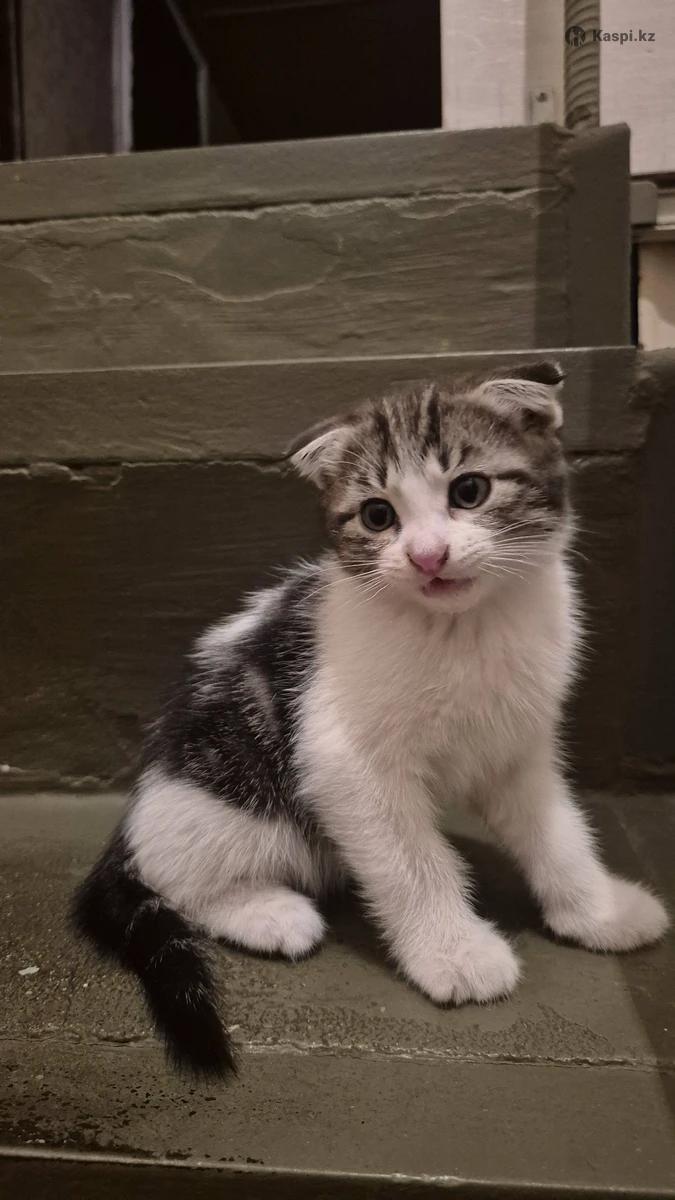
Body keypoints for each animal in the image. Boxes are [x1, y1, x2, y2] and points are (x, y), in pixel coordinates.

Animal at [72, 362, 669, 1079]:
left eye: (469, 490)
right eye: (377, 515)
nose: (427, 555)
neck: (461, 631)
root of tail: (131, 821)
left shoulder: (518, 747)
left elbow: (558, 833)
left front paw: (597, 911)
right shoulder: (345, 761)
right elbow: (413, 861)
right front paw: (456, 954)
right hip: (226, 799)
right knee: (174, 875)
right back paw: (266, 912)